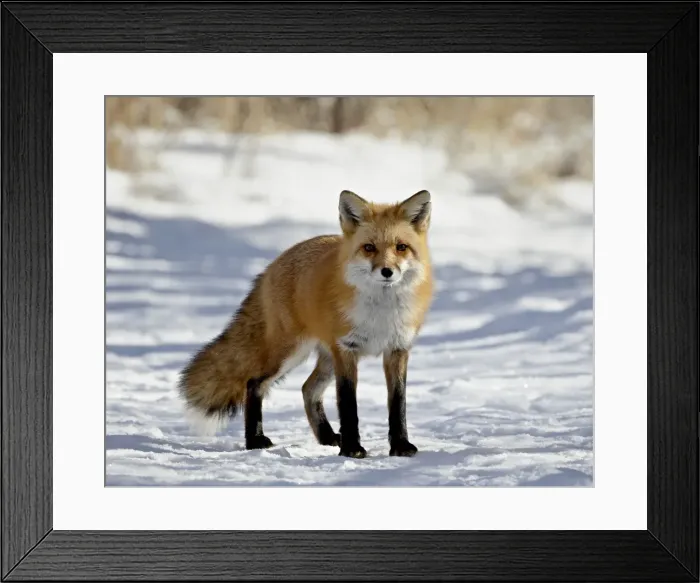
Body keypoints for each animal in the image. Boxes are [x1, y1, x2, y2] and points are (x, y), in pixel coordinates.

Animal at [178, 189, 434, 458]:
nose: (387, 271)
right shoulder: (346, 349)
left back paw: (327, 436)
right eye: (369, 248)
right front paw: (352, 449)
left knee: (307, 389)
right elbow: (348, 404)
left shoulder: (397, 349)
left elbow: (398, 404)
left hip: (326, 359)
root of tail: (273, 264)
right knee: (254, 383)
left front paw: (400, 446)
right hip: (291, 353)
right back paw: (255, 440)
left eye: (401, 247)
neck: (381, 314)